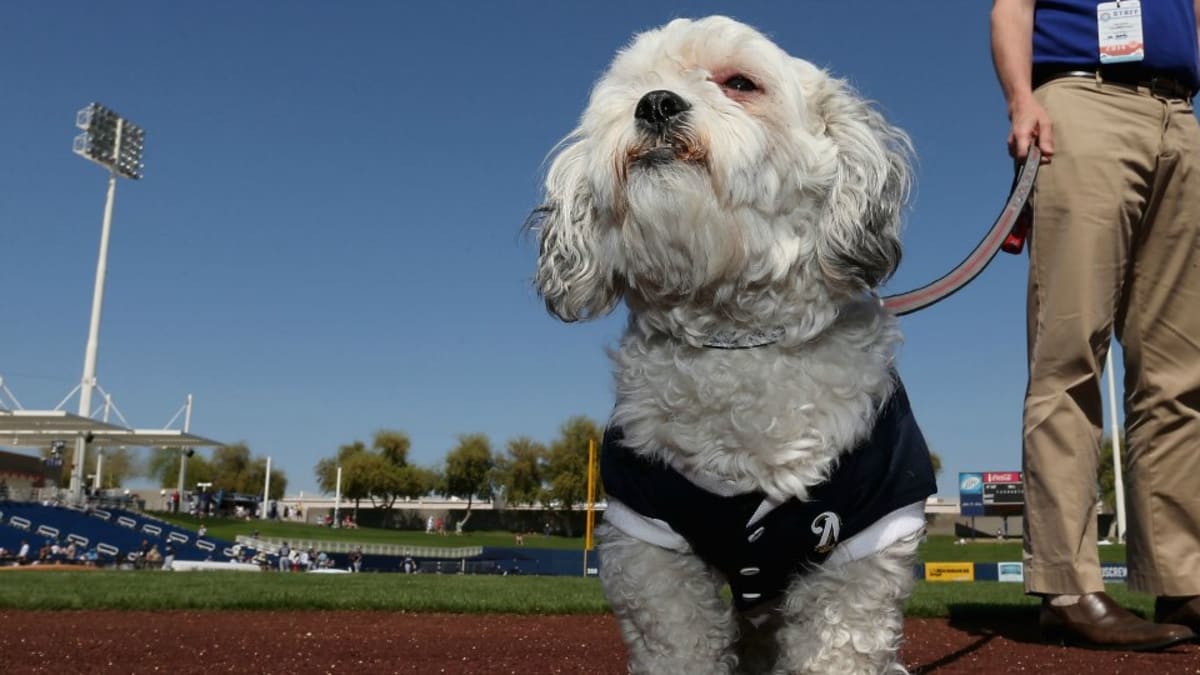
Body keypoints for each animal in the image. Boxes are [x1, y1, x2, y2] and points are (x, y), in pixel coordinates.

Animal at [532, 15, 936, 672]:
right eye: (637, 86)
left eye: (740, 83)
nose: (656, 103)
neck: (737, 343)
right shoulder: (649, 544)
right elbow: (678, 645)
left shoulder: (865, 546)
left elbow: (840, 645)